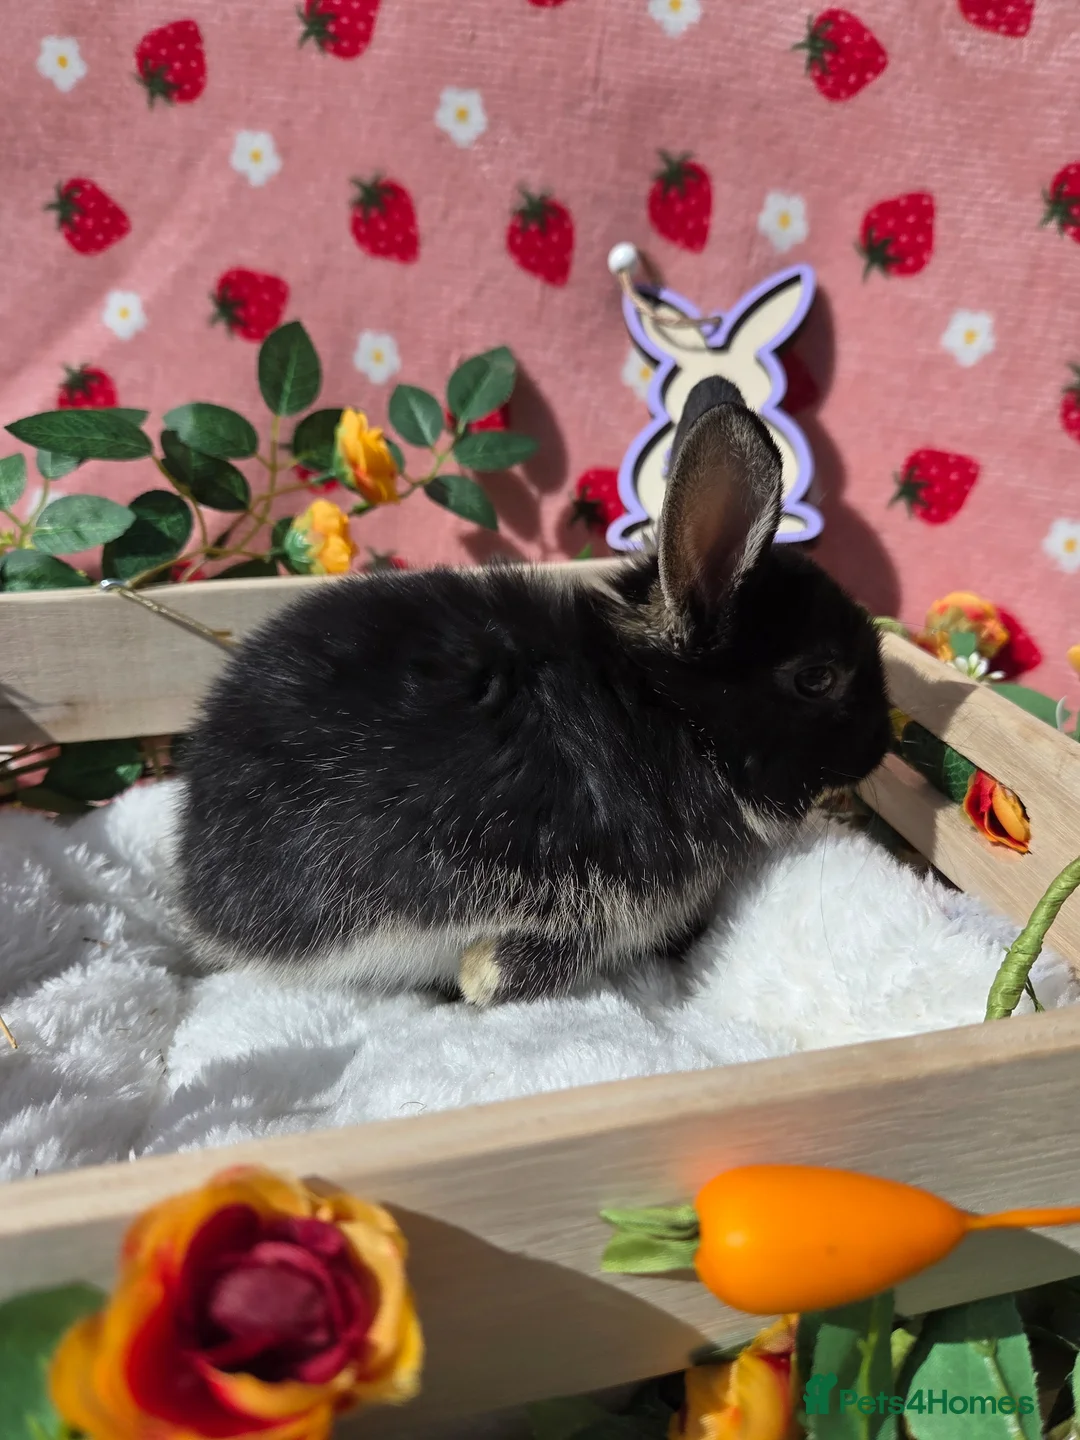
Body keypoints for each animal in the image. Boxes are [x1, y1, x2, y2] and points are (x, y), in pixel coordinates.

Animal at [174, 376, 890, 1008]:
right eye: (817, 679)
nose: (882, 744)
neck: (666, 710)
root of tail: (199, 890)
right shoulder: (592, 901)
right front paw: (486, 981)